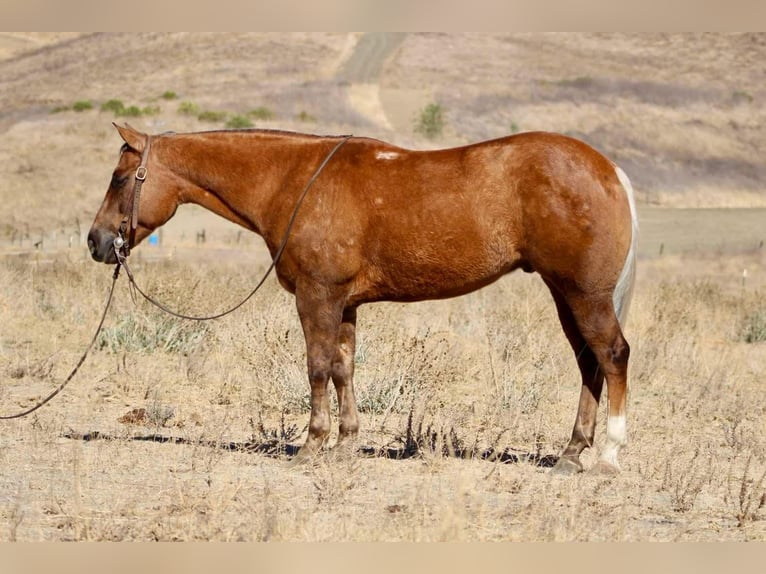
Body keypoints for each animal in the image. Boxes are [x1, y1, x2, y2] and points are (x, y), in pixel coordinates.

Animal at [88, 123, 638, 475]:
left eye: (119, 178)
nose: (96, 242)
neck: (293, 180)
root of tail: (610, 169)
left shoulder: (316, 297)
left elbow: (316, 367)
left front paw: (311, 446)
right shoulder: (344, 304)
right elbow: (343, 368)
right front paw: (346, 444)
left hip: (584, 294)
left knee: (612, 356)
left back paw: (609, 456)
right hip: (564, 295)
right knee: (588, 364)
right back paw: (571, 454)